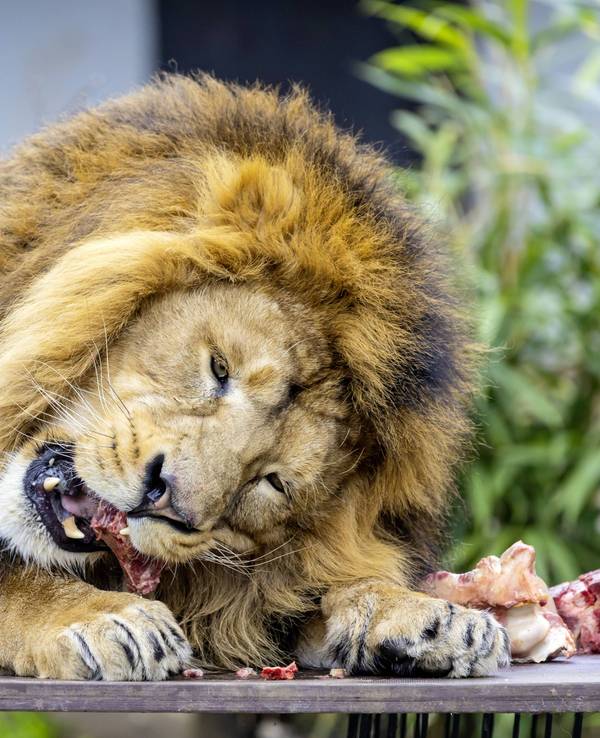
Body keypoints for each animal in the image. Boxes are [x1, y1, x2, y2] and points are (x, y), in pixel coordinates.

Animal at [0, 74, 509, 680]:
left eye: (271, 482)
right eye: (219, 368)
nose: (164, 503)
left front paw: (432, 618)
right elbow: (18, 584)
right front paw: (107, 620)